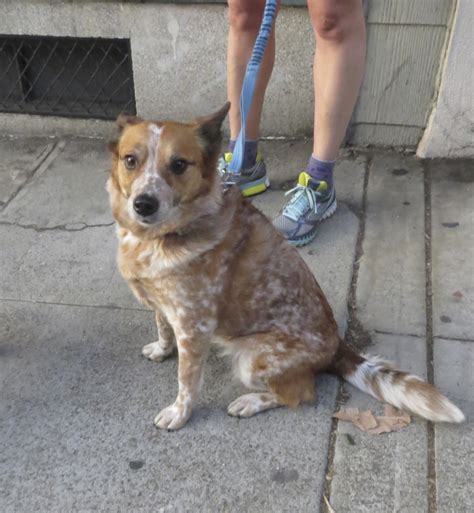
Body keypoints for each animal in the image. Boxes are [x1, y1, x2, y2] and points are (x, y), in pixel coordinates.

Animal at [106, 103, 462, 428]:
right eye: (130, 160)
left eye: (179, 164)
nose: (144, 204)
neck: (160, 236)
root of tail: (337, 346)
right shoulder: (164, 305)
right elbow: (162, 327)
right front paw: (162, 349)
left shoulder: (195, 328)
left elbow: (187, 380)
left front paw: (180, 413)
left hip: (252, 359)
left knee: (301, 393)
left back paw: (250, 401)